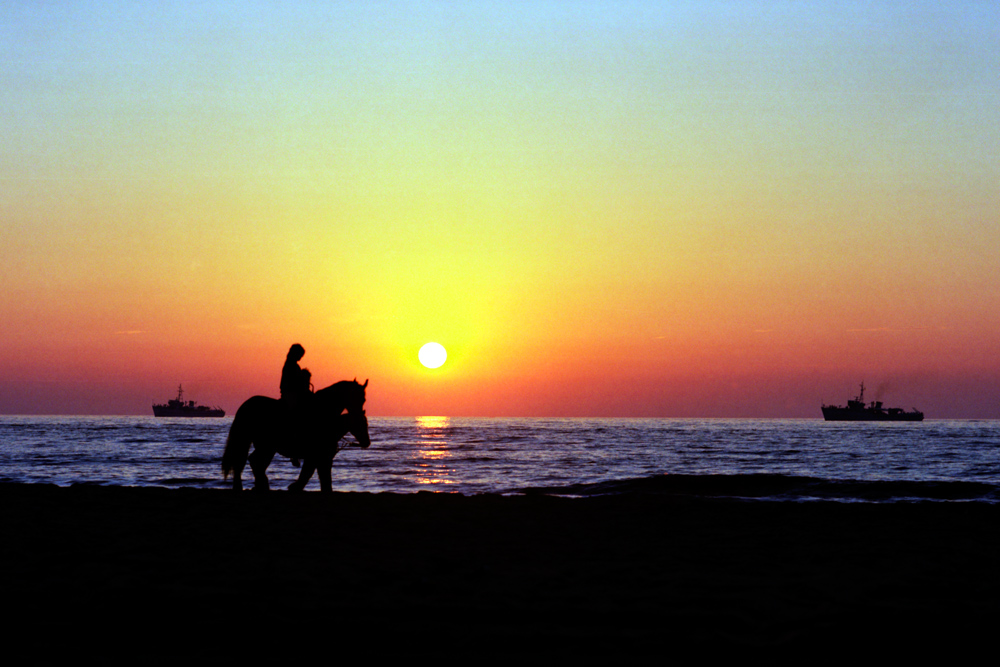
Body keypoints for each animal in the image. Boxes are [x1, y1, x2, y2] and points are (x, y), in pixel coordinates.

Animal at [223, 380, 372, 490]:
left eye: (363, 399)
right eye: (359, 398)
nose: (367, 442)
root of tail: (246, 406)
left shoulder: (321, 458)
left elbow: (320, 479)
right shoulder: (317, 456)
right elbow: (312, 475)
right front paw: (294, 487)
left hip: (263, 446)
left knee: (252, 463)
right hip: (264, 446)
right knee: (251, 462)